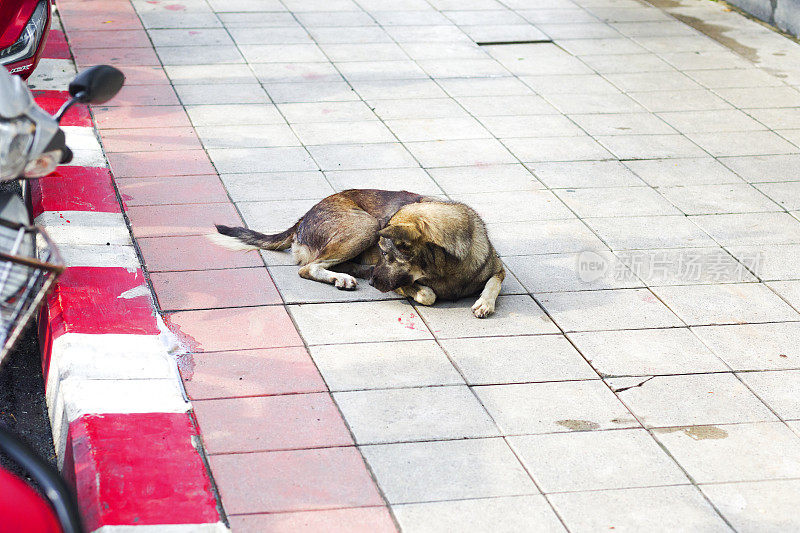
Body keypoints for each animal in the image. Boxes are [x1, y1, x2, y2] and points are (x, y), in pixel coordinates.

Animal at [209, 190, 504, 318]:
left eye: (389, 256)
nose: (372, 282)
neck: (447, 268)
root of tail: (303, 217)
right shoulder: (397, 283)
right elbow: (426, 294)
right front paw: (424, 290)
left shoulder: (499, 269)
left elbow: (492, 283)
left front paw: (484, 303)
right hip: (367, 225)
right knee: (307, 268)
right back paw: (343, 276)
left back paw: (350, 273)